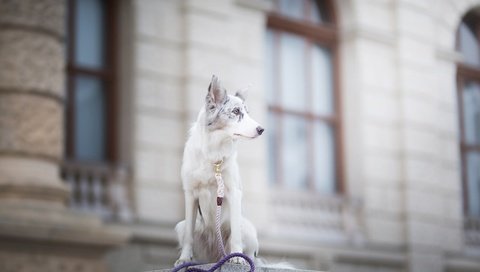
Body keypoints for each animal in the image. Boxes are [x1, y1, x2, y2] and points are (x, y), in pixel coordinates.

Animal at [174, 75, 262, 266]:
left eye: (247, 113)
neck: (214, 154)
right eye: (236, 111)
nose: (261, 129)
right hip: (181, 226)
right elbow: (189, 237)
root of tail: (216, 257)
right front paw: (184, 259)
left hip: (249, 228)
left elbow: (236, 234)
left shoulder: (234, 192)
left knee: (248, 250)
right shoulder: (190, 194)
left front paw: (237, 257)